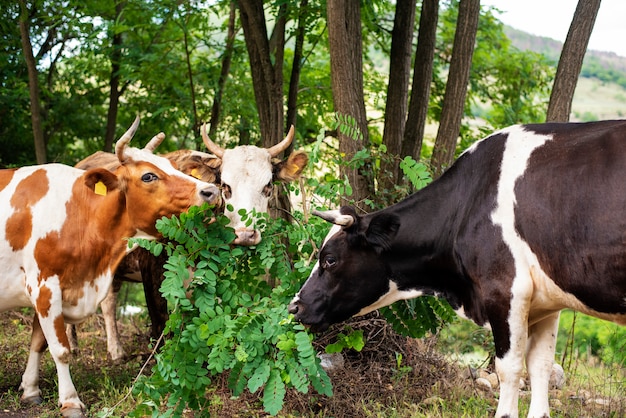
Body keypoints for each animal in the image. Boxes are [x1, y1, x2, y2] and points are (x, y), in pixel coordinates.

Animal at [0, 117, 219, 418]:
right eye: (148, 176)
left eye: (172, 165)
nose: (211, 191)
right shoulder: (44, 285)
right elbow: (59, 348)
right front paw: (69, 400)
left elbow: (38, 342)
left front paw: (31, 389)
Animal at [72, 123, 306, 360]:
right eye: (225, 186)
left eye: (267, 186)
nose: (245, 234)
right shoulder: (151, 271)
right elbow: (160, 324)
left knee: (109, 301)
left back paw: (116, 349)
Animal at [288, 118, 624, 418]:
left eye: (329, 259)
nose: (295, 306)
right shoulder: (546, 301)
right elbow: (540, 368)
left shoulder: (506, 290)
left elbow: (509, 370)